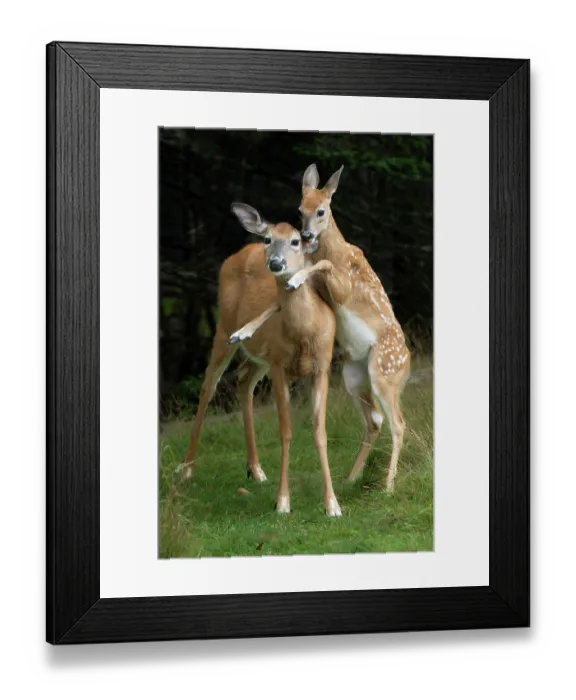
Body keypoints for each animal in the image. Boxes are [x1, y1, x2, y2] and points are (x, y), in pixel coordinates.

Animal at [181, 203, 342, 517]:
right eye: (269, 239)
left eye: (295, 241)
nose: (276, 263)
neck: (305, 333)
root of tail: (238, 253)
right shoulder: (279, 366)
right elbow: (286, 431)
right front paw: (283, 501)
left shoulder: (322, 366)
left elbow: (320, 432)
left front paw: (332, 504)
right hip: (223, 328)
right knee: (208, 387)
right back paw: (187, 470)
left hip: (259, 356)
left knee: (244, 381)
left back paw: (255, 469)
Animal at [230, 165, 411, 493]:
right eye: (300, 210)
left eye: (322, 210)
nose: (306, 235)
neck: (337, 249)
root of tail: (410, 362)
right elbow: (275, 304)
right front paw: (241, 332)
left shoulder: (344, 285)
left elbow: (322, 264)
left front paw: (295, 277)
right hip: (354, 375)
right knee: (375, 419)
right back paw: (350, 479)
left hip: (385, 372)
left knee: (398, 422)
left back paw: (388, 486)